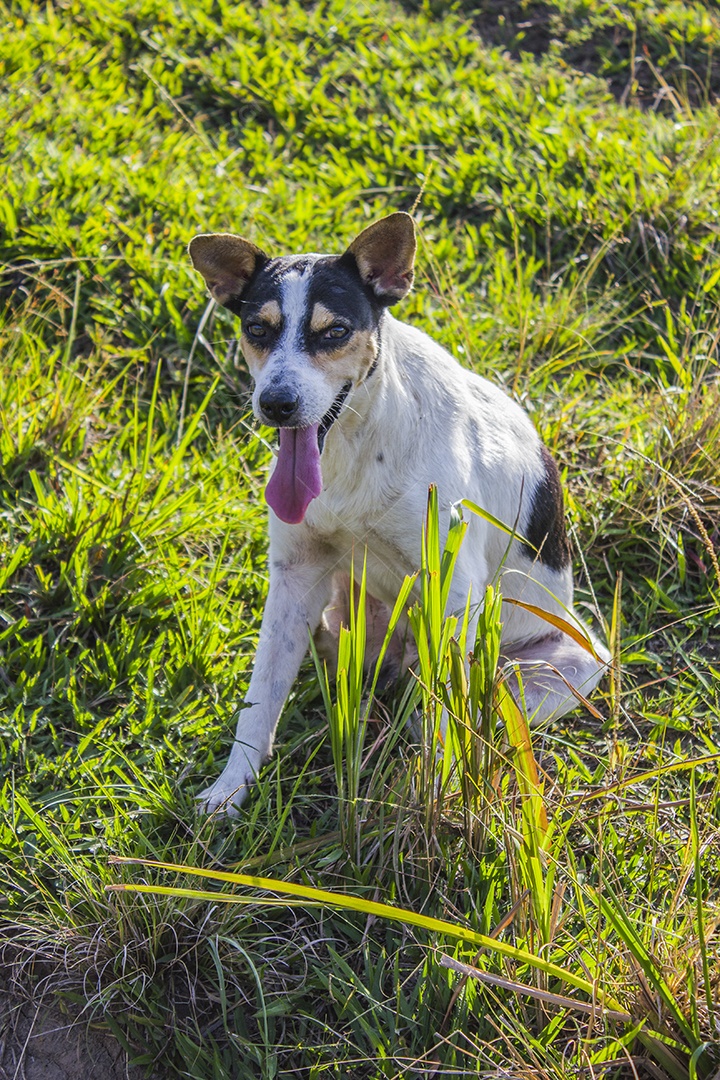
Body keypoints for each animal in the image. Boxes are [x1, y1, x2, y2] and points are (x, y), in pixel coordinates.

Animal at [187, 214, 608, 812]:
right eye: (258, 329)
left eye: (334, 331)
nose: (276, 404)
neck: (357, 445)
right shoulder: (295, 575)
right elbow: (259, 699)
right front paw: (230, 790)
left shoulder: (454, 590)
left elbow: (445, 713)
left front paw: (437, 788)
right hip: (338, 615)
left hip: (561, 666)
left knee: (463, 710)